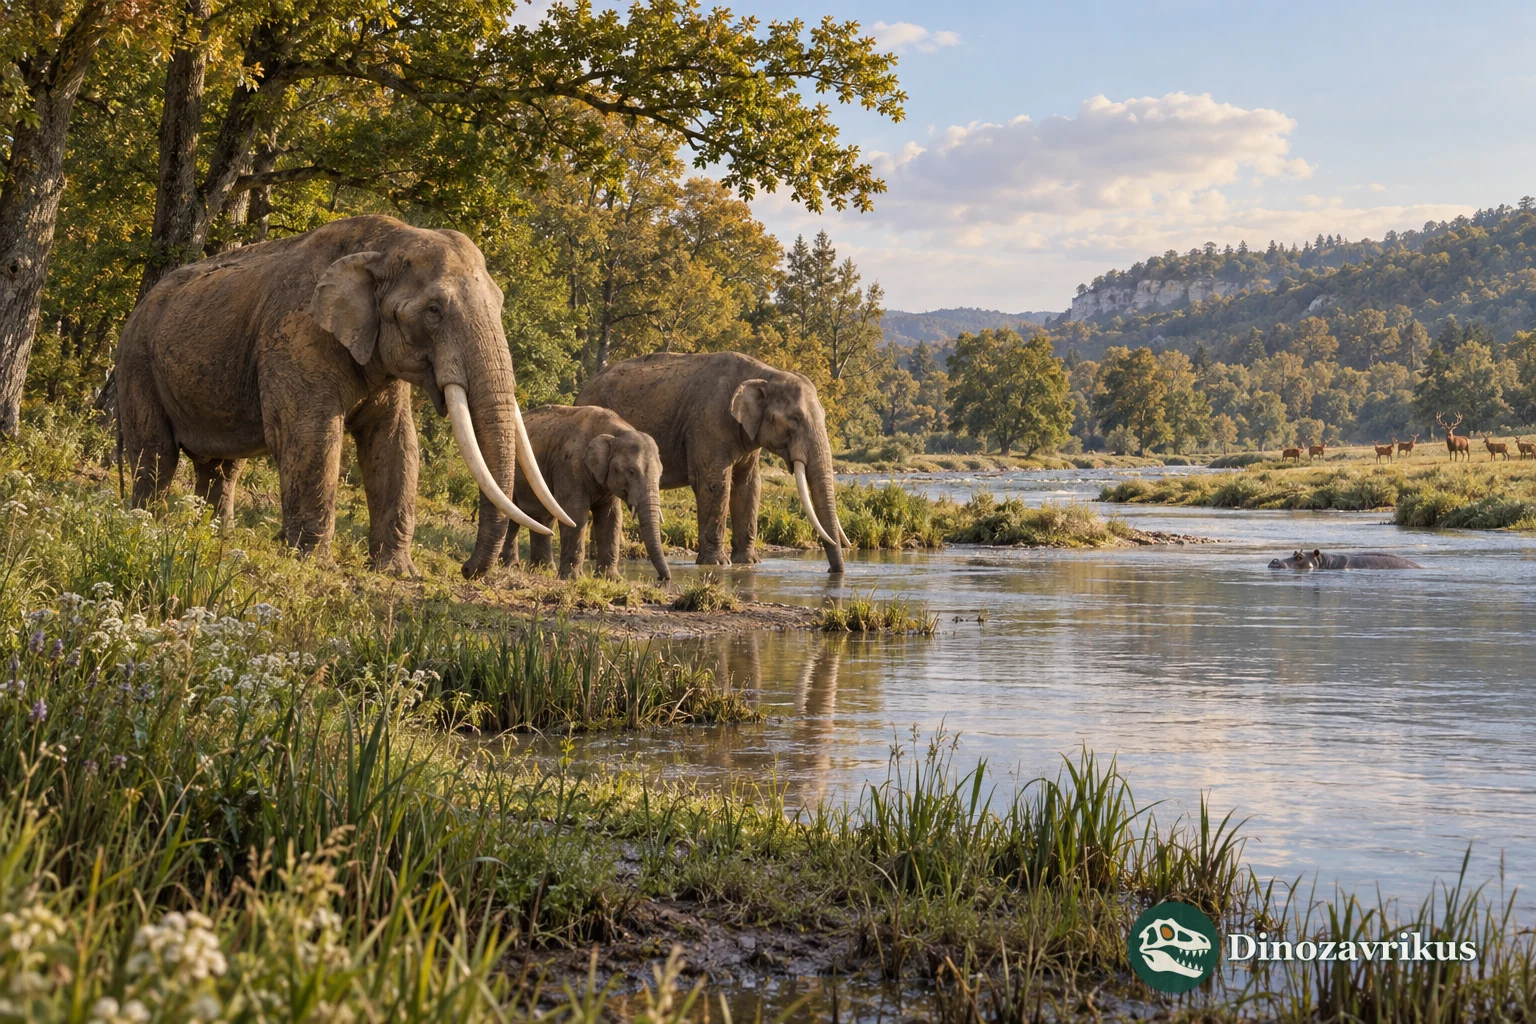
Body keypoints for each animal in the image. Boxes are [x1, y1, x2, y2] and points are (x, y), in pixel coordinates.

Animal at [113, 214, 572, 578]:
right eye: (434, 311)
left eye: (499, 304)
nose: (466, 570)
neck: (387, 242)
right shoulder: (296, 335)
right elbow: (310, 437)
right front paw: (313, 563)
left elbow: (395, 443)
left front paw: (398, 573)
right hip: (136, 360)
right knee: (156, 450)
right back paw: (146, 525)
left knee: (222, 467)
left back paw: (216, 535)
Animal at [498, 405, 671, 582]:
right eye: (631, 472)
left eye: (661, 473)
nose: (662, 578)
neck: (615, 432)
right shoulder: (569, 467)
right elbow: (575, 514)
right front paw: (573, 578)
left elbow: (611, 517)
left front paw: (612, 579)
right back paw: (511, 567)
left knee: (543, 518)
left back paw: (544, 571)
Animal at [576, 351, 846, 572]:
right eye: (795, 419)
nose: (832, 571)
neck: (765, 374)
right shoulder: (709, 422)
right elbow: (715, 483)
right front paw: (717, 564)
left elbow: (749, 486)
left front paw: (748, 562)